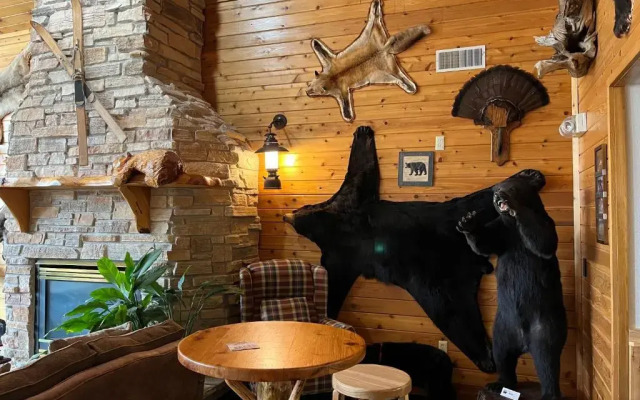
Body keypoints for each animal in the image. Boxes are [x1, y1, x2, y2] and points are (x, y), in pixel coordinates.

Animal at [456, 169, 567, 400]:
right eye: (495, 190)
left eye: (511, 187)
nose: (498, 196)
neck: (514, 227)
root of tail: (524, 342)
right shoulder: (502, 232)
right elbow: (484, 244)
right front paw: (467, 222)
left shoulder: (544, 222)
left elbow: (543, 241)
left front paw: (516, 207)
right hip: (502, 328)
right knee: (502, 355)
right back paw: (498, 384)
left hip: (546, 324)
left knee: (548, 358)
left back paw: (550, 393)